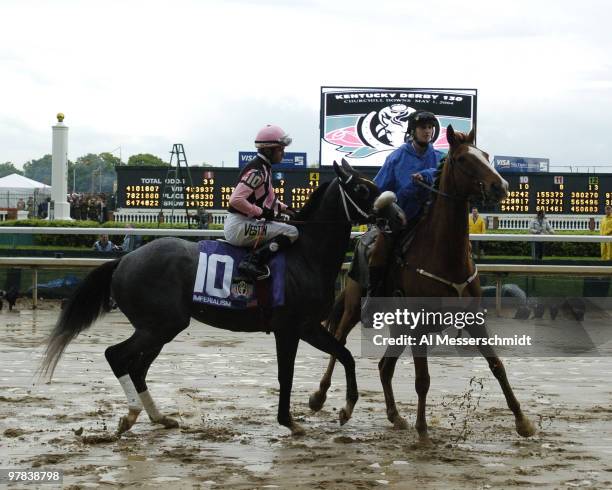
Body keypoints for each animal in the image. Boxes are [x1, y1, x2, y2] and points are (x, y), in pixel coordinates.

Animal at [40, 161, 378, 436]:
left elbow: (345, 355)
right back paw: (132, 414)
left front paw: (344, 408)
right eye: (362, 188)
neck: (306, 256)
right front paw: (290, 421)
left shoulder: (308, 326)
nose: (389, 208)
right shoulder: (289, 328)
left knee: (137, 367)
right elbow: (287, 375)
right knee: (117, 356)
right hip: (160, 325)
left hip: (159, 327)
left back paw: (159, 417)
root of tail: (124, 260)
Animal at [310, 125, 536, 440]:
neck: (445, 255)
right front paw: (423, 430)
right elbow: (422, 379)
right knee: (340, 340)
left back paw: (395, 416)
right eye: (463, 159)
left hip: (398, 325)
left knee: (384, 366)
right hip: (355, 307)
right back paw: (324, 398)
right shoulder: (418, 326)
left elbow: (497, 365)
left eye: (486, 155)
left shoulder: (474, 319)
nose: (500, 186)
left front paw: (522, 420)